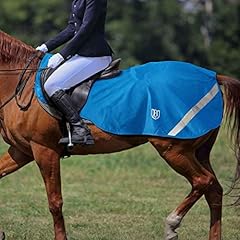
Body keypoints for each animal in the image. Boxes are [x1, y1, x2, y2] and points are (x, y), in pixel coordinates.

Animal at [0, 30, 240, 240]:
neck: (20, 83)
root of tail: (211, 76)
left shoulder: (44, 150)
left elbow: (55, 202)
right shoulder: (22, 150)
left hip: (174, 150)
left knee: (203, 181)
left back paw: (171, 225)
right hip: (198, 152)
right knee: (213, 190)